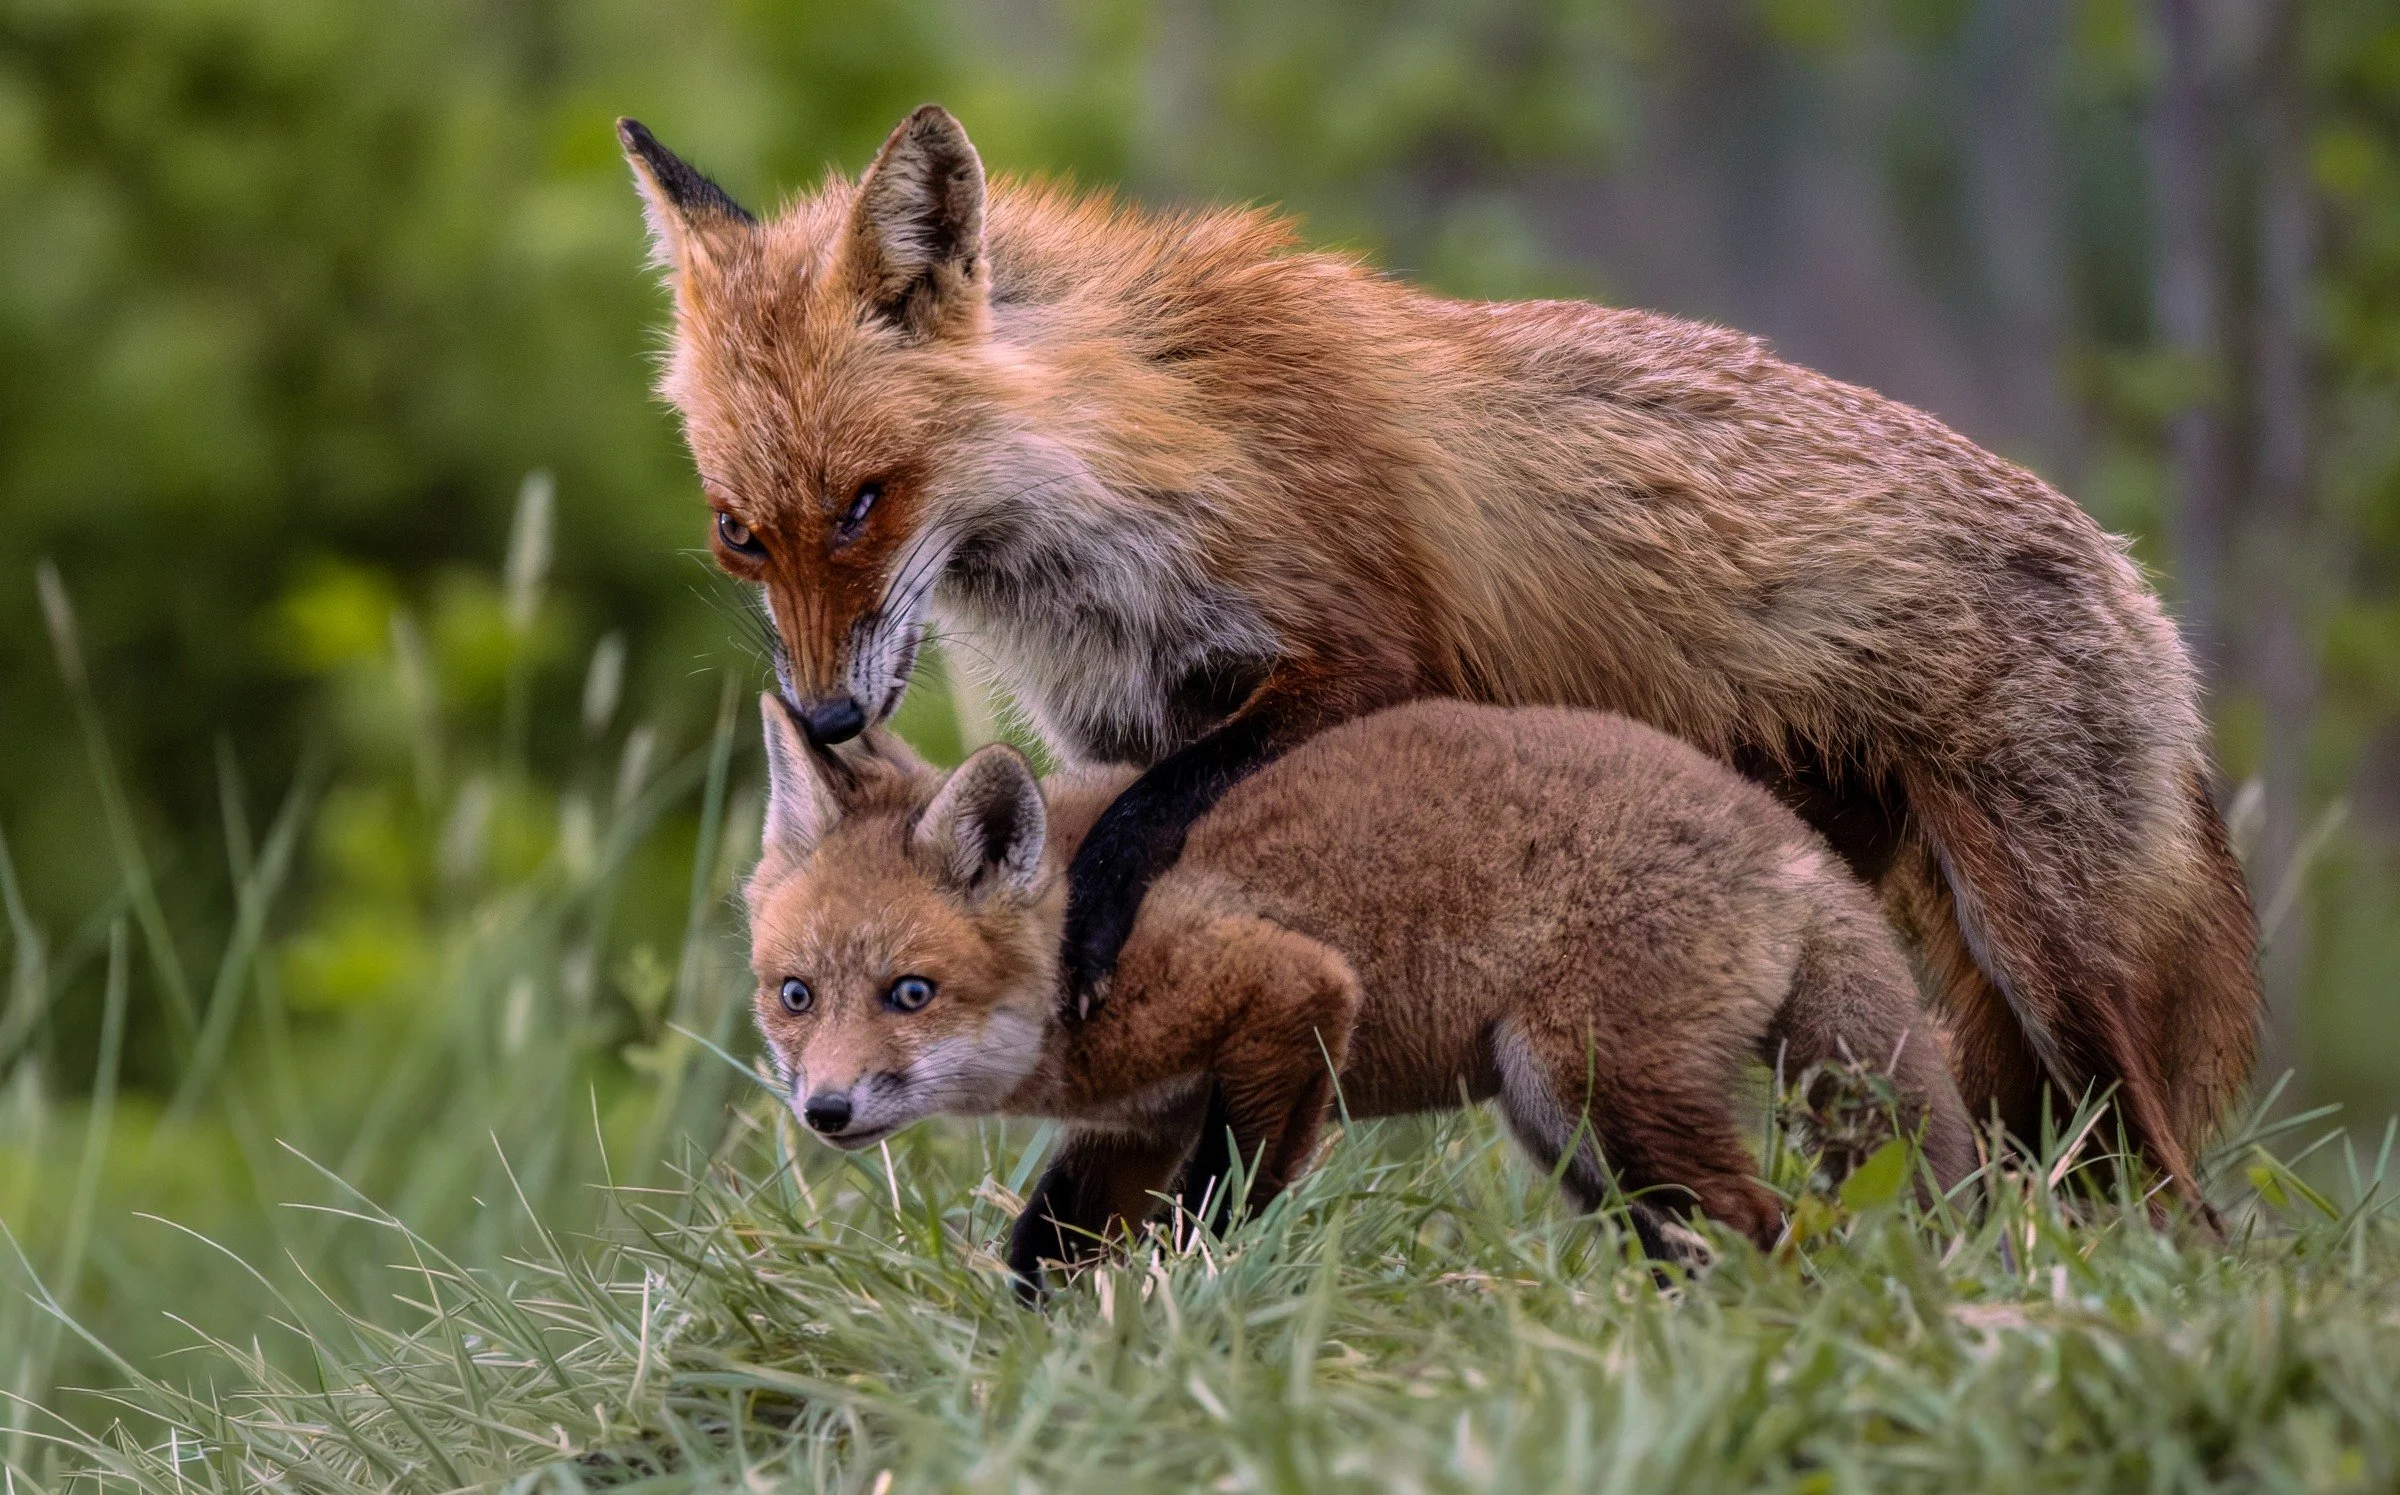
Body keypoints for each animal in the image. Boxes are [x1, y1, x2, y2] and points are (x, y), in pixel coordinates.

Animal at [623, 104, 2258, 1214]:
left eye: (864, 502)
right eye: (737, 534)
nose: (828, 708)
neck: (1141, 459)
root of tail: (2141, 587)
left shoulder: (1369, 652)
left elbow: (1158, 825)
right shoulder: (1116, 726)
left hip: (2048, 962)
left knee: (2176, 1187)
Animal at [743, 694, 1979, 1292]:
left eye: (910, 991)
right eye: (795, 995)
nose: (825, 1111)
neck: (1070, 969)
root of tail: (1787, 841)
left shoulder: (1289, 995)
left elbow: (1219, 1204)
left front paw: (1188, 1301)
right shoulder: (1140, 1118)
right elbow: (1043, 1251)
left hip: (1595, 1088)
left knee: (1763, 1222)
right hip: (1572, 1132)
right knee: (1695, 1234)